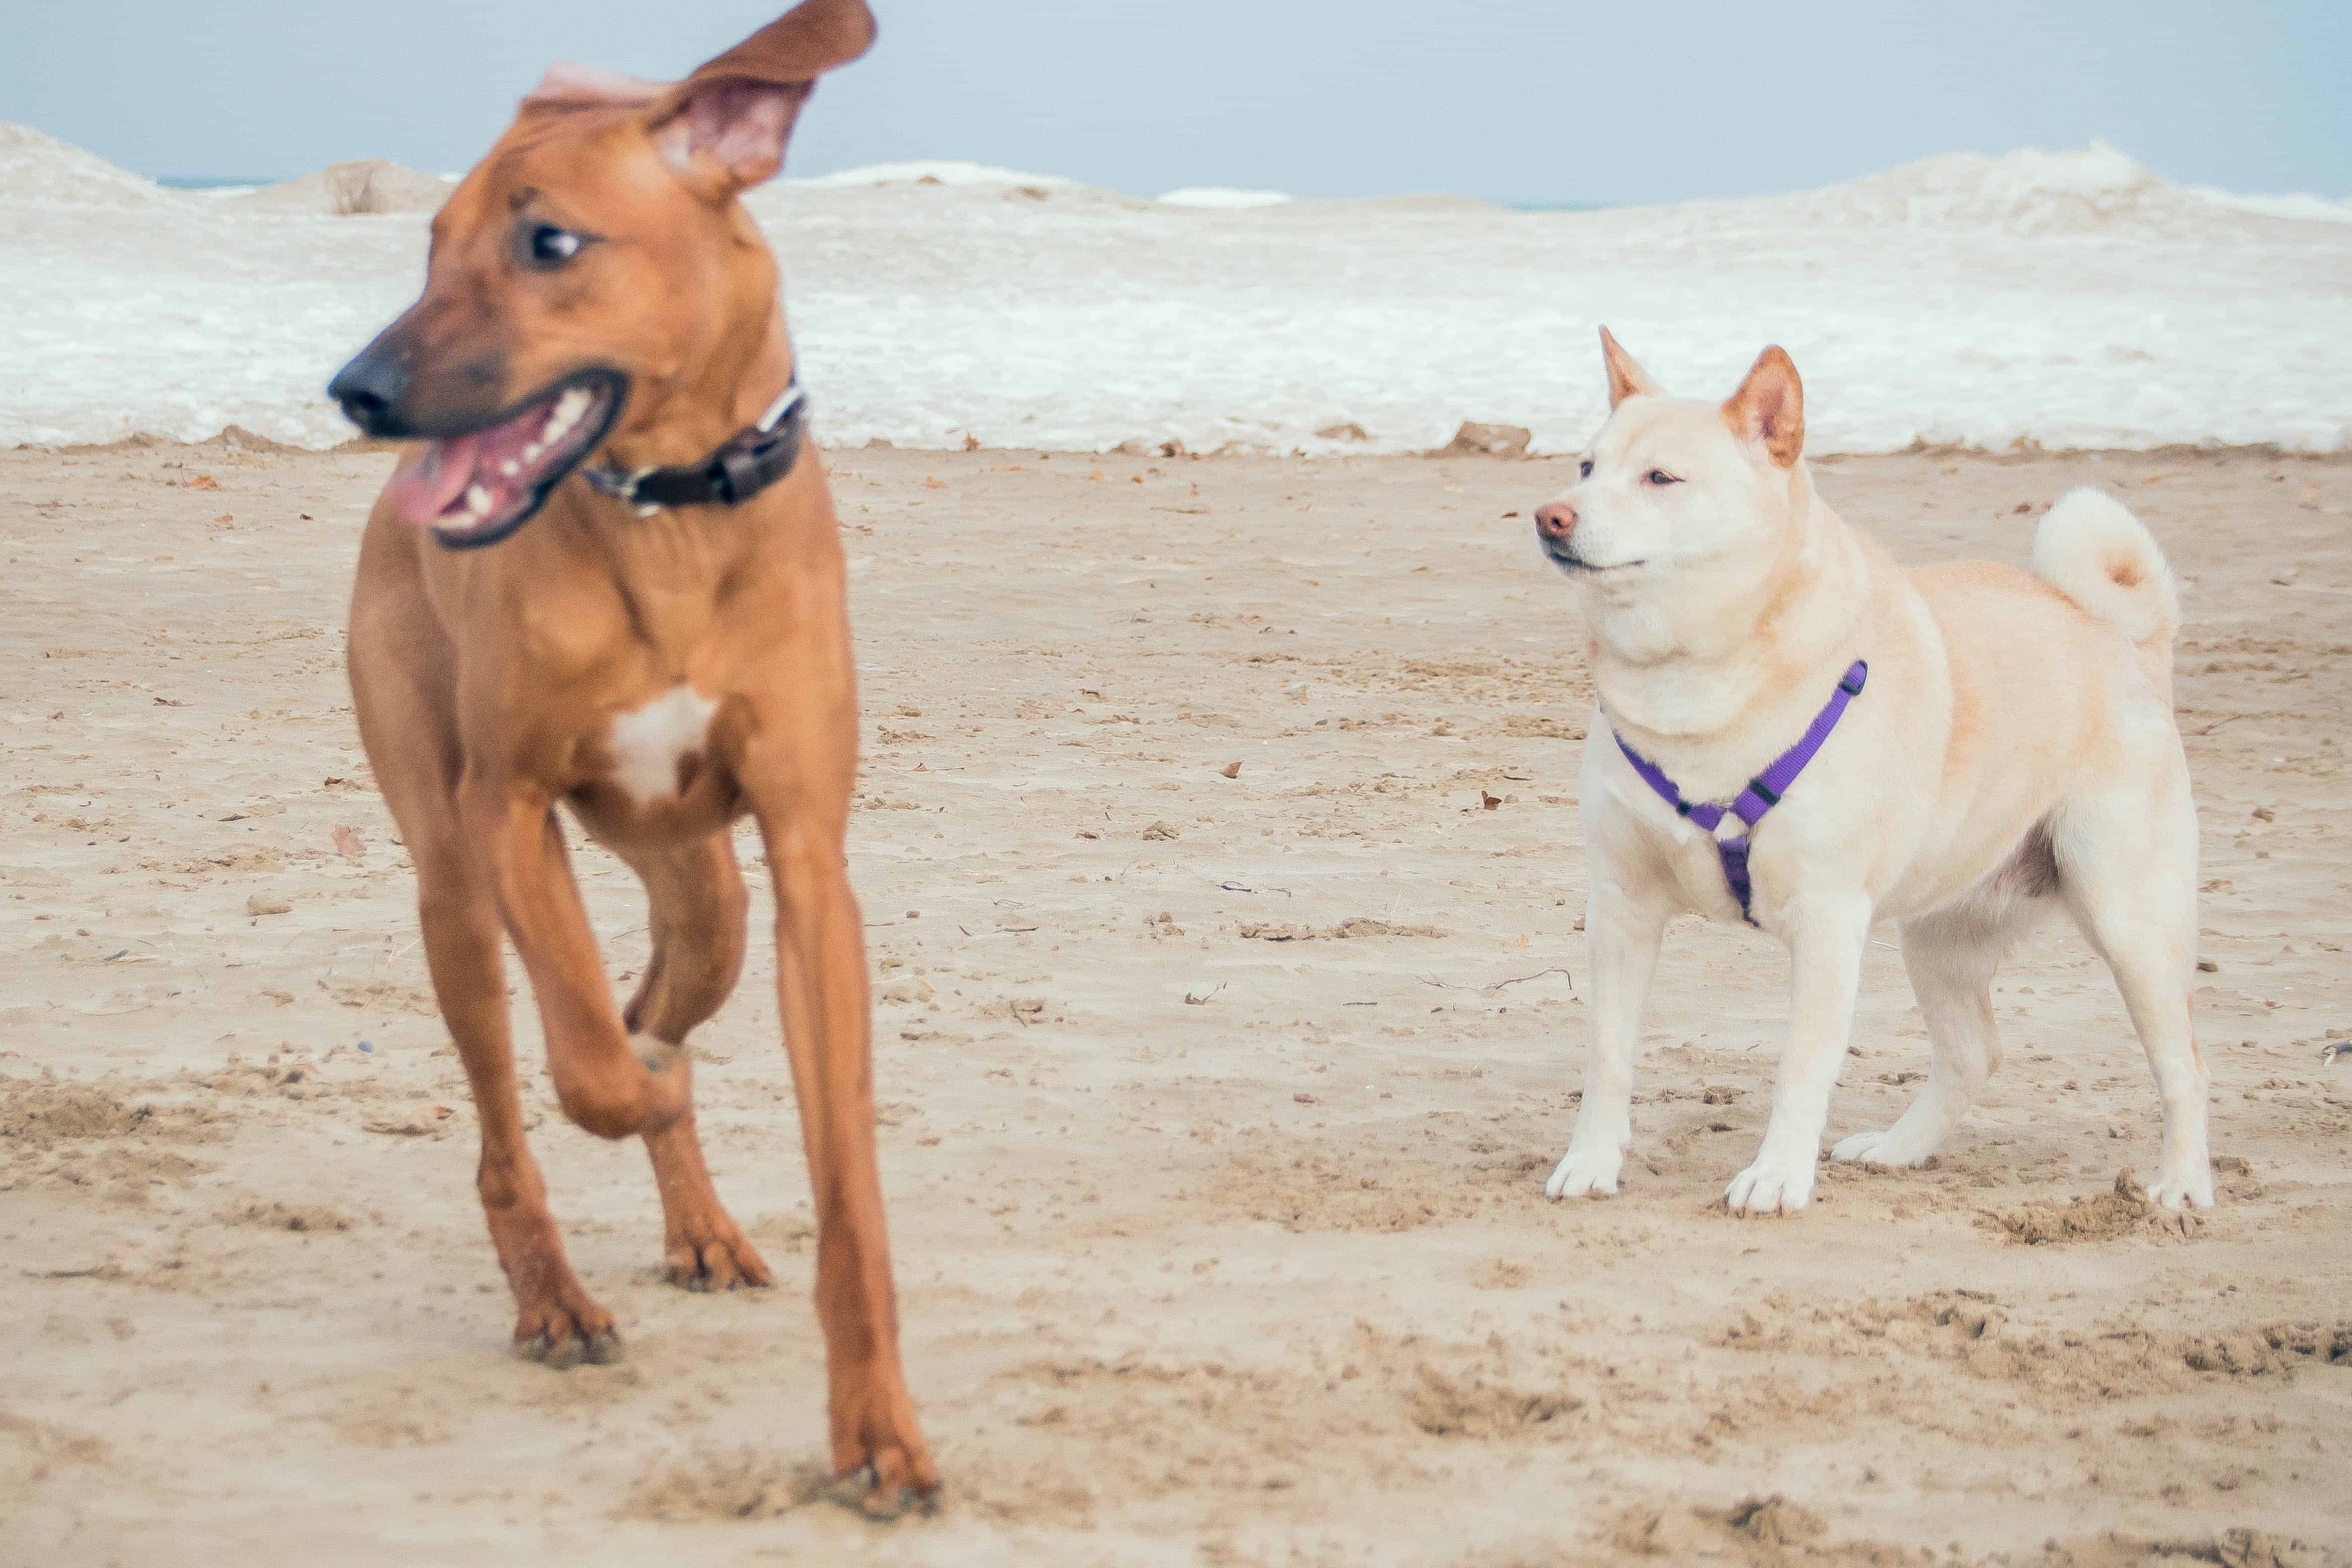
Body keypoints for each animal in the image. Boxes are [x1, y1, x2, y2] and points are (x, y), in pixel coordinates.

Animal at [331, 0, 936, 1504]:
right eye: (431, 241)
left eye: (549, 242)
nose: (356, 391)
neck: (669, 516)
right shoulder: (506, 808)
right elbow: (591, 1064)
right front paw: (627, 1088)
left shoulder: (806, 869)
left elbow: (843, 1187)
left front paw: (878, 1425)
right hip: (450, 886)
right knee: (519, 1108)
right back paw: (554, 1294)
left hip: (708, 896)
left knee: (667, 994)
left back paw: (700, 1223)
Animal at [1533, 329, 2211, 1213]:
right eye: (1586, 466)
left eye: (1660, 478)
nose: (1550, 516)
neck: (1695, 677)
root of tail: (2124, 640)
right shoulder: (1620, 906)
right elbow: (1607, 1054)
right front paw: (1590, 1161)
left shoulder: (1826, 922)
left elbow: (1801, 1066)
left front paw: (1777, 1176)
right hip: (1942, 937)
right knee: (1973, 1053)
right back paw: (1899, 1148)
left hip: (2131, 923)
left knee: (2184, 1067)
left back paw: (2181, 1185)